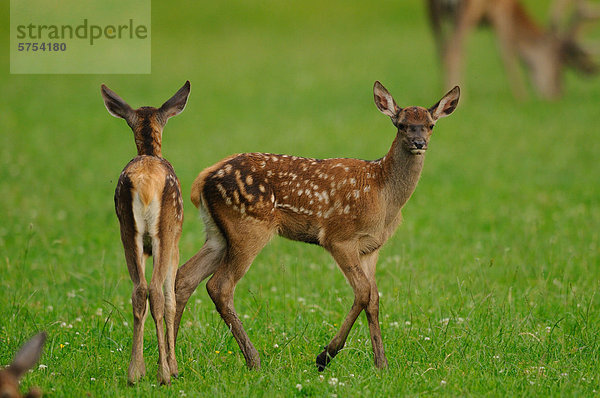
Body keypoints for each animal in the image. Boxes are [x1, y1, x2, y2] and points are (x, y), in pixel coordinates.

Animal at [428, 0, 596, 98]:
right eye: (559, 64)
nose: (558, 92)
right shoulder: (502, 10)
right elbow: (506, 54)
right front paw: (522, 97)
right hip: (468, 9)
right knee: (453, 50)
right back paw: (463, 100)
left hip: (432, 9)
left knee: (442, 49)